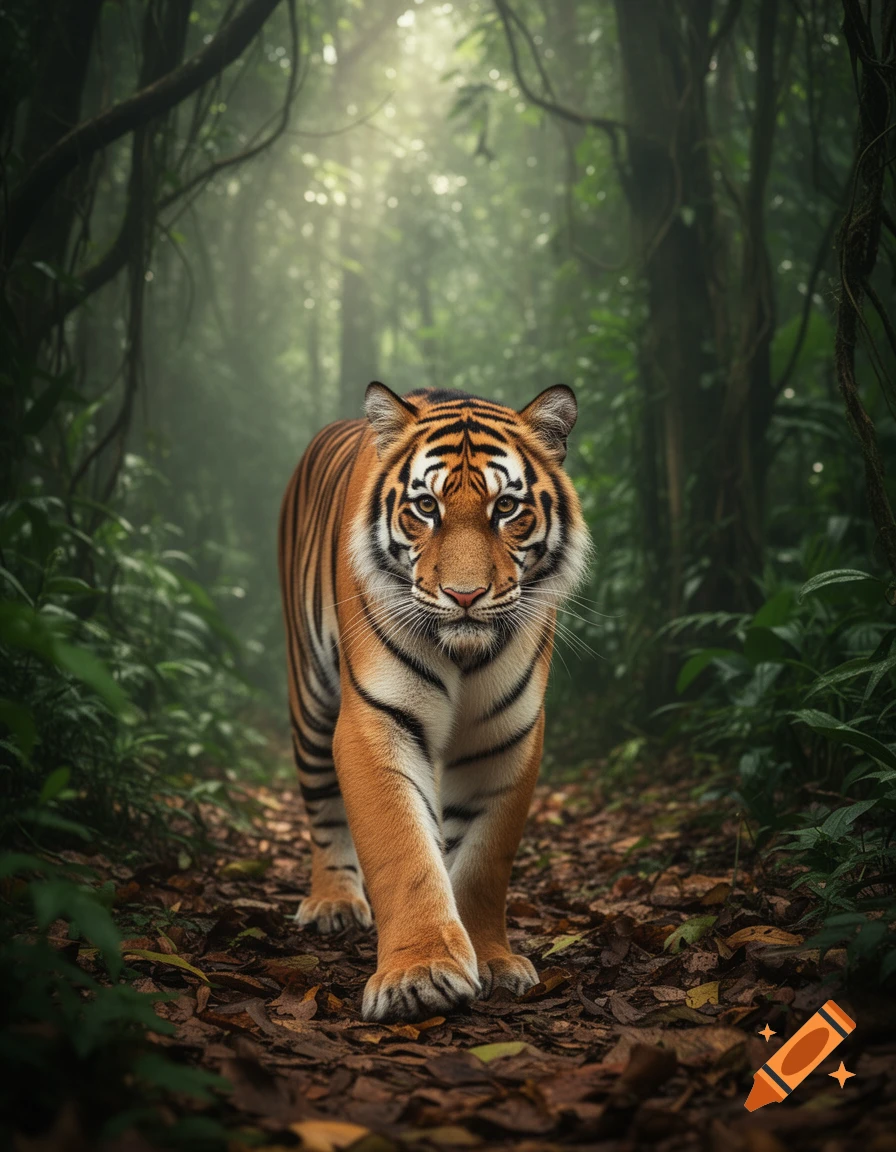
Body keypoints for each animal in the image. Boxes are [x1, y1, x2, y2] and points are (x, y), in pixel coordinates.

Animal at [278, 383, 590, 1022]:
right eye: (425, 508)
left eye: (506, 508)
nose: (464, 595)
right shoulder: (376, 721)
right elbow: (403, 853)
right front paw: (417, 976)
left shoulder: (507, 737)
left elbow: (481, 862)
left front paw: (492, 961)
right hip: (311, 697)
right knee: (323, 808)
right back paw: (333, 903)